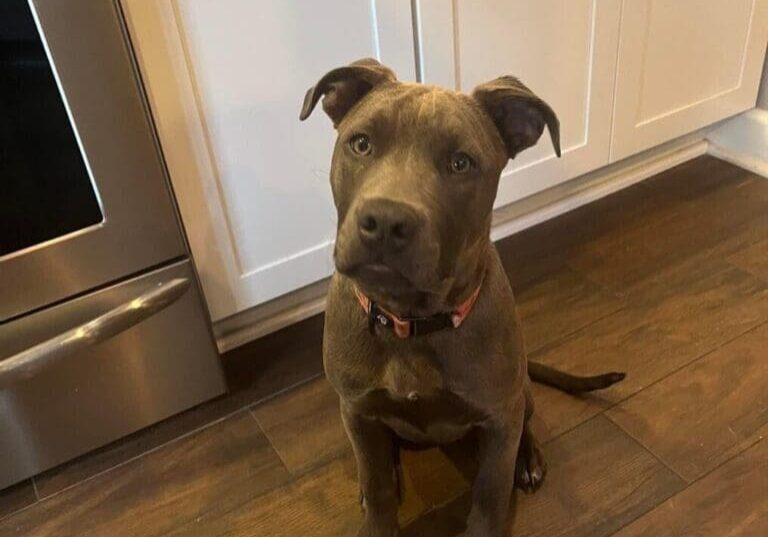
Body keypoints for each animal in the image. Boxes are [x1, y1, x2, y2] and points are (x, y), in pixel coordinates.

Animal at [300, 58, 624, 536]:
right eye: (361, 143)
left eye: (460, 163)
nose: (386, 221)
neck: (413, 322)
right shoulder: (356, 410)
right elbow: (378, 489)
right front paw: (376, 506)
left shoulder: (497, 416)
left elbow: (490, 493)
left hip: (519, 392)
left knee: (524, 425)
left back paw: (528, 460)